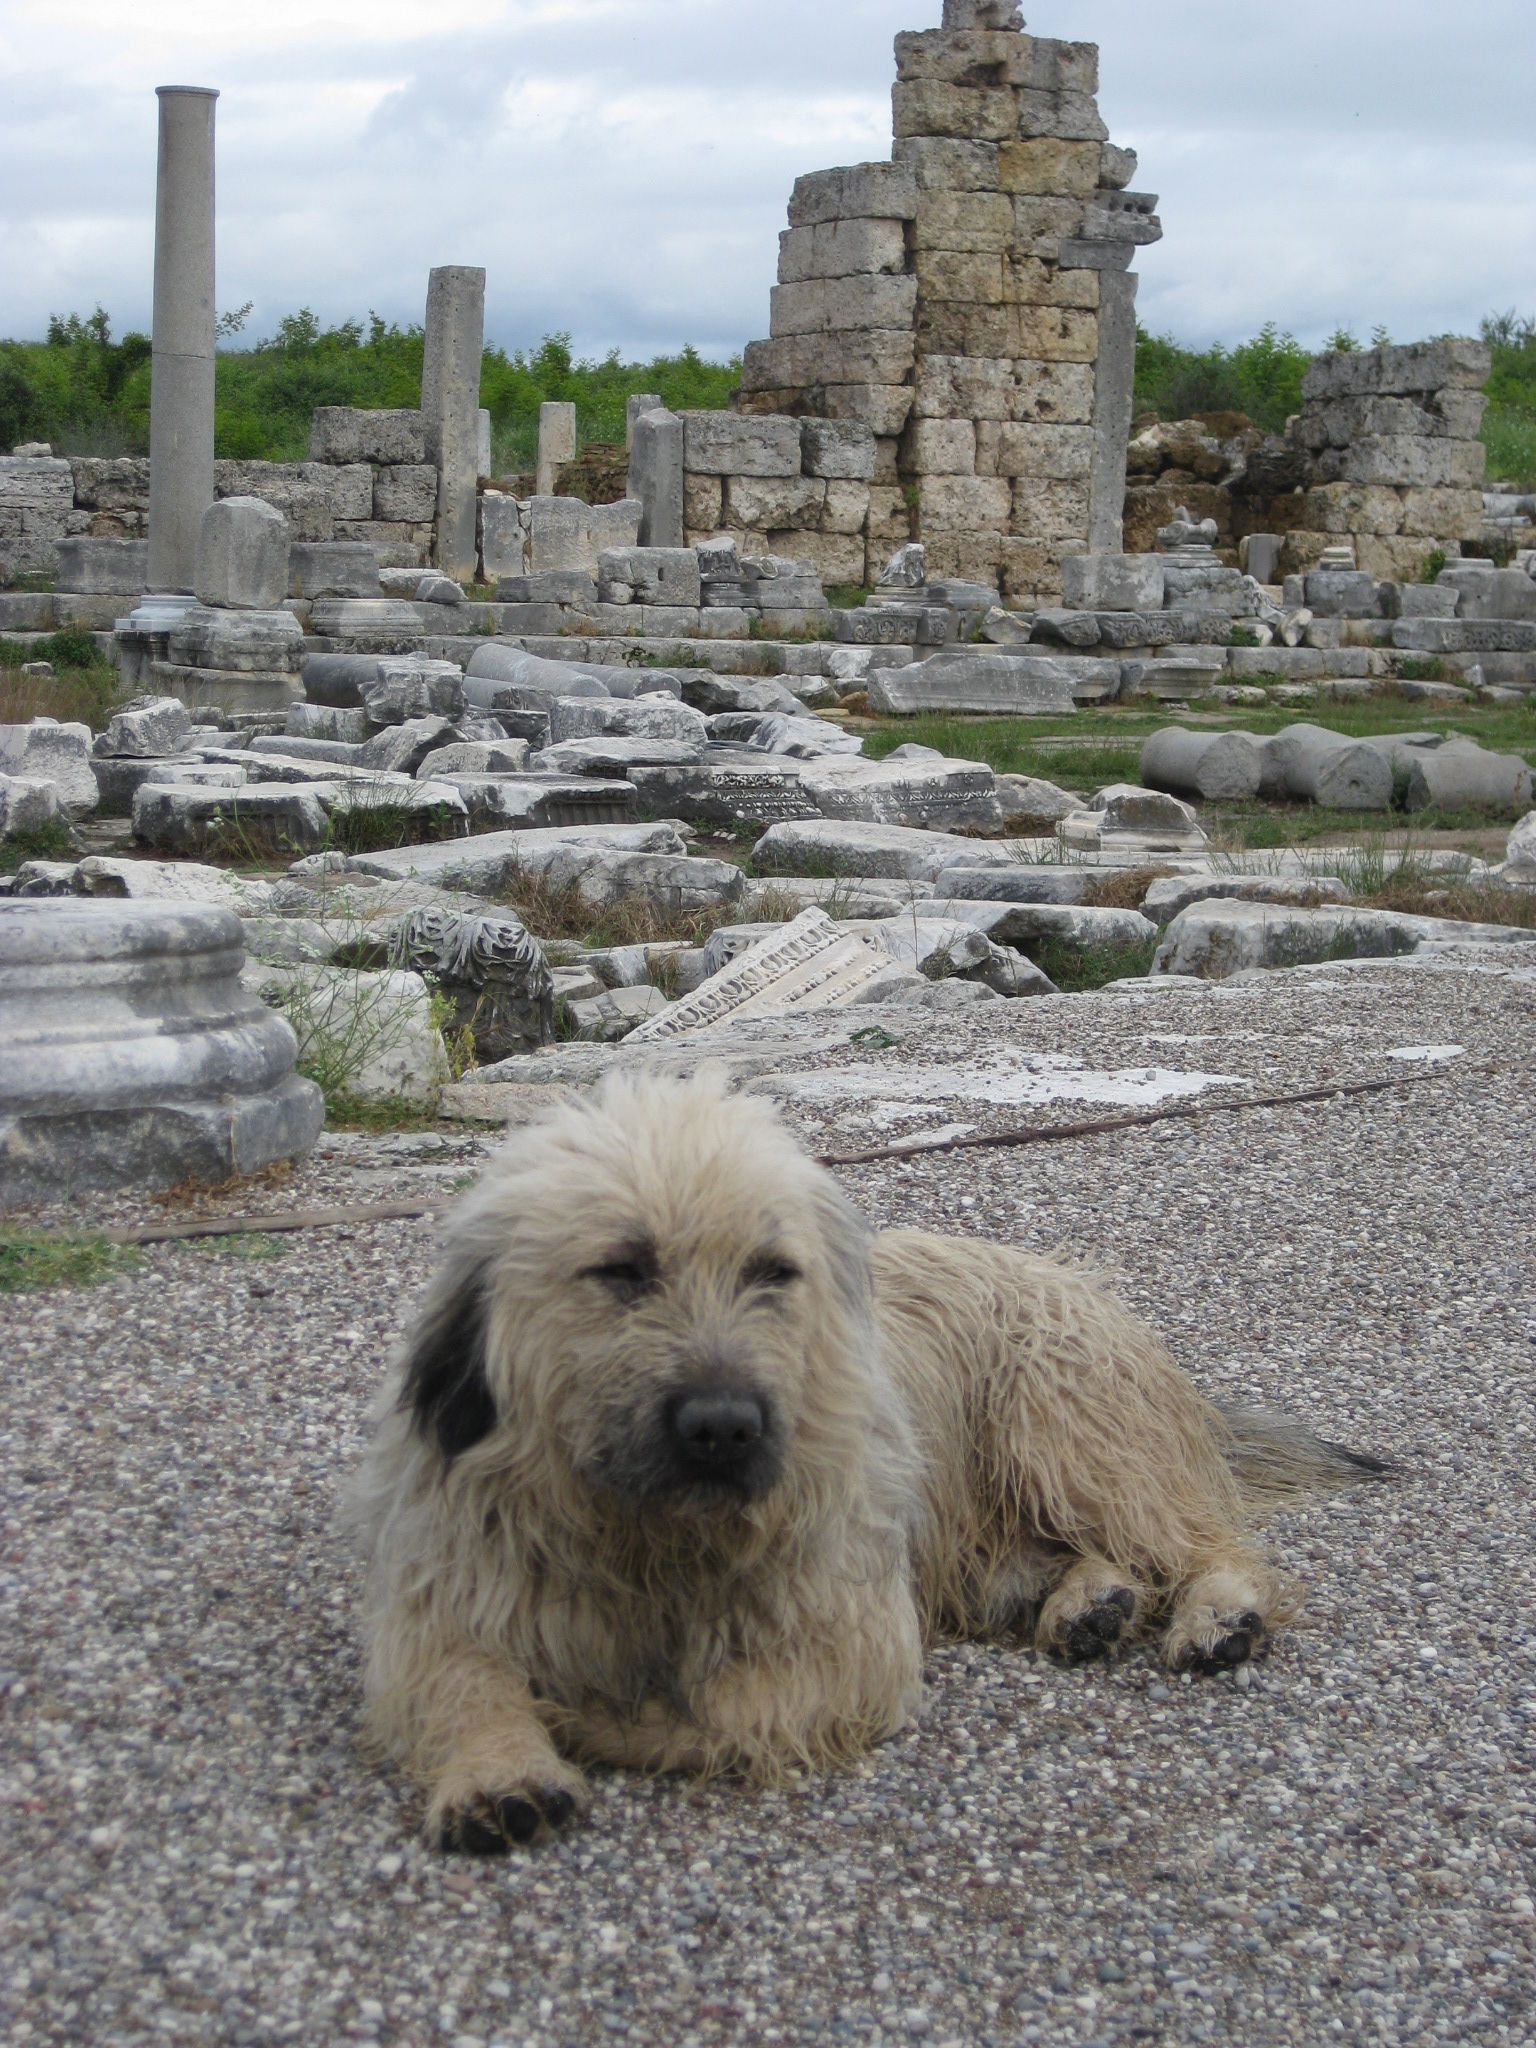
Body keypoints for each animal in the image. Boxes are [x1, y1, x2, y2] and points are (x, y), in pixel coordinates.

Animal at [350, 1070, 1383, 1852]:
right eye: (623, 1269)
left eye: (772, 1271)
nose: (725, 1427)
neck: (653, 1534)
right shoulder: (455, 1586)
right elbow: (460, 1679)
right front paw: (499, 1769)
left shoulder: (843, 1636)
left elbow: (718, 1711)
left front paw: (586, 1718)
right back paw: (1091, 1601)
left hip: (1065, 1427)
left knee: (1205, 1541)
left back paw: (1219, 1613)